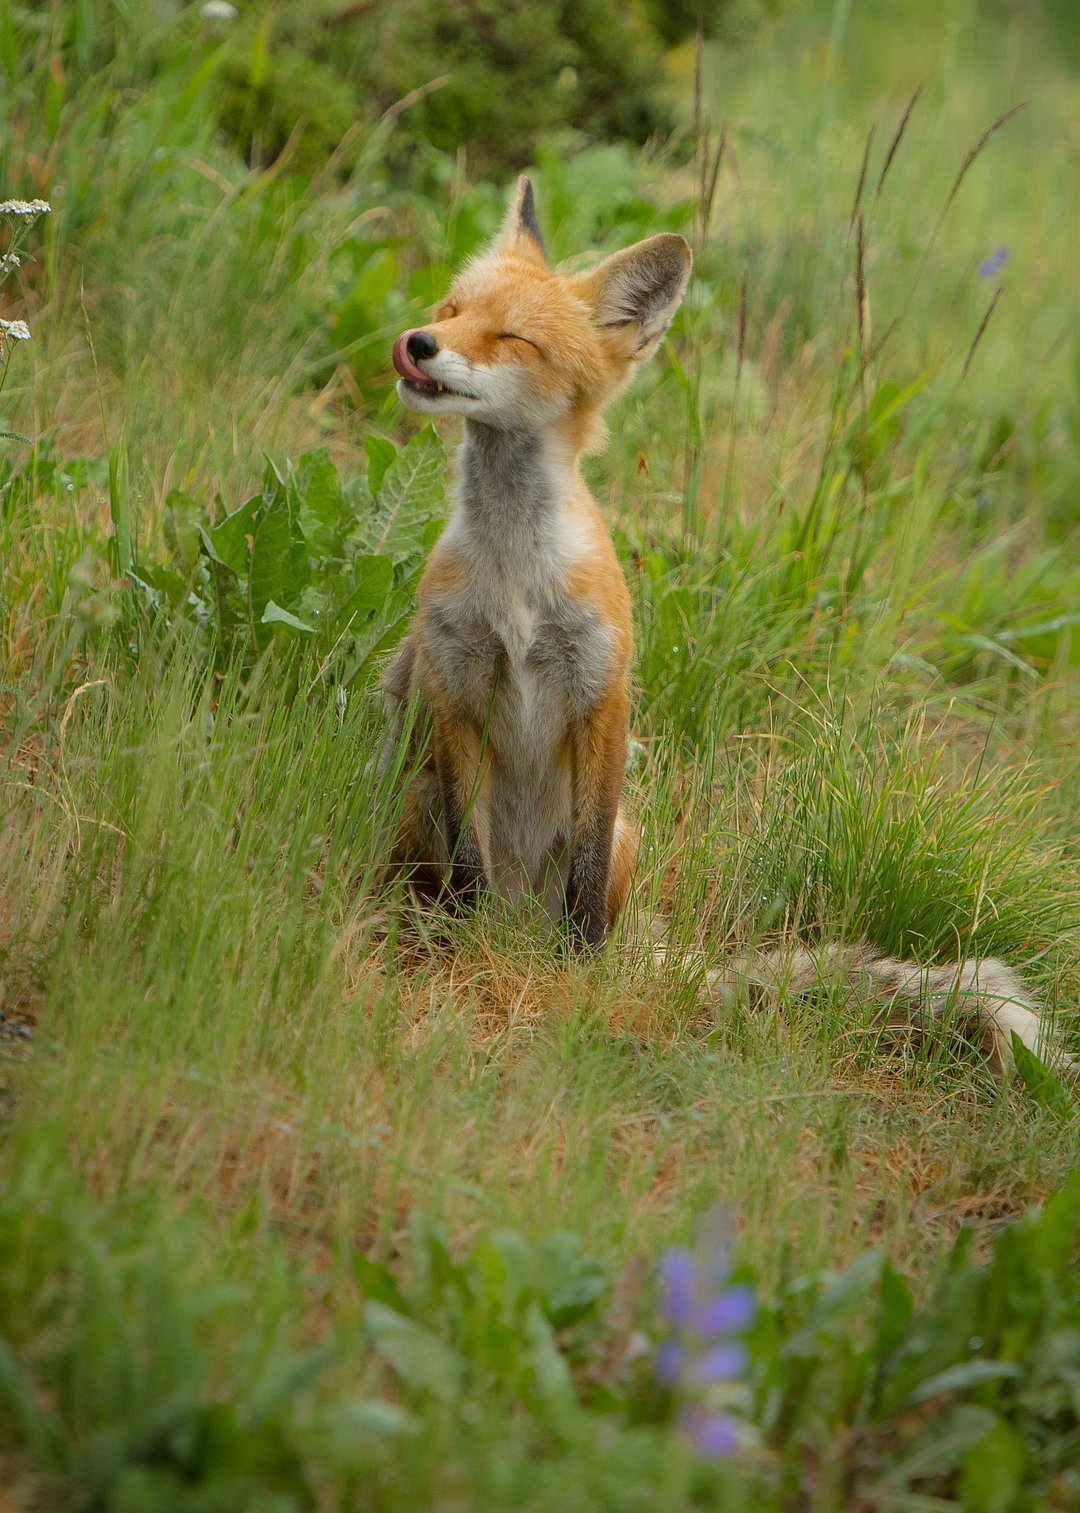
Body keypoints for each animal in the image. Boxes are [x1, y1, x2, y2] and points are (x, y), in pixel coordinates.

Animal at [379, 177, 1072, 1075]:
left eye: (512, 337)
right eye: (452, 307)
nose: (418, 342)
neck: (517, 582)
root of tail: (519, 924)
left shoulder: (603, 696)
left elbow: (585, 888)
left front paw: (580, 984)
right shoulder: (455, 686)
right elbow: (469, 866)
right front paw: (470, 960)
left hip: (625, 837)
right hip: (416, 801)